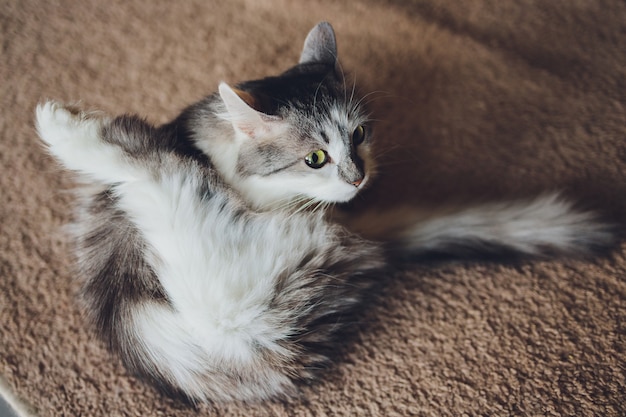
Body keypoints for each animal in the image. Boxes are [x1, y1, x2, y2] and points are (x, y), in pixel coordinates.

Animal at [34, 22, 608, 404]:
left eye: (359, 134)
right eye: (314, 158)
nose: (357, 178)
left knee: (144, 165)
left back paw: (62, 125)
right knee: (142, 164)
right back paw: (60, 124)